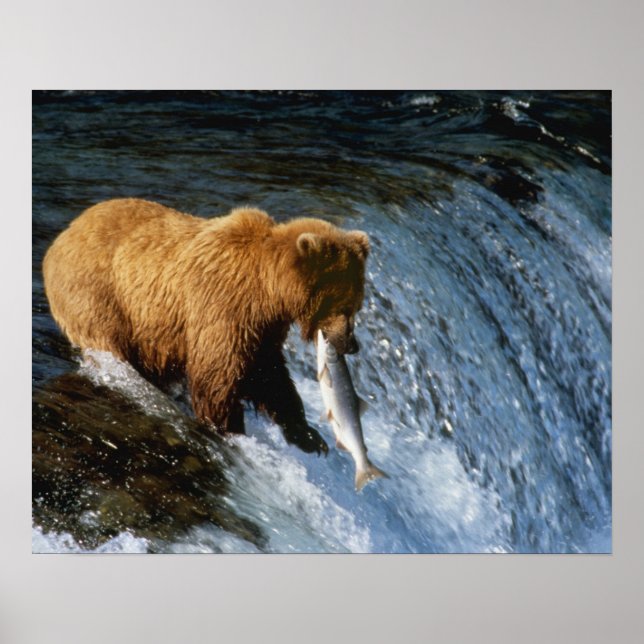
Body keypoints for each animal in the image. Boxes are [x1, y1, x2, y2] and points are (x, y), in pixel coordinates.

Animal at [42, 198, 370, 455]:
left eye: (357, 305)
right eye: (345, 307)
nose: (352, 345)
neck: (269, 290)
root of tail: (61, 237)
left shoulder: (263, 327)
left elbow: (270, 375)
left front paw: (309, 436)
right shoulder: (223, 306)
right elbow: (217, 375)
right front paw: (229, 430)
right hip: (99, 296)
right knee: (107, 340)